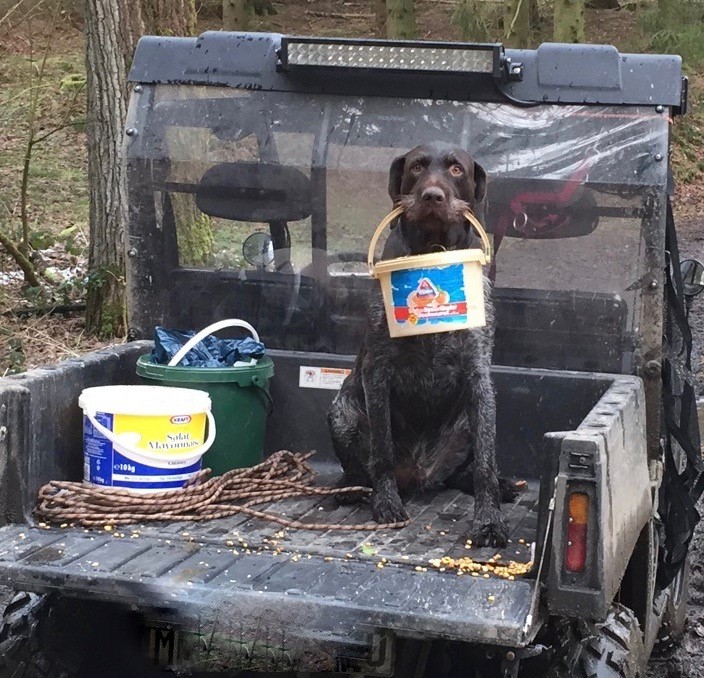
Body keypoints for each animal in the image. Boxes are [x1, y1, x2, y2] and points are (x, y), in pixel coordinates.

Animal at [327, 142, 512, 548]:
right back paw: (349, 486)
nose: (432, 195)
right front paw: (386, 503)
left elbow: (486, 463)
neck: (433, 251)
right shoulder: (377, 370)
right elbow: (381, 450)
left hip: (473, 416)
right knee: (361, 468)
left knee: (463, 471)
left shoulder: (479, 374)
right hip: (342, 408)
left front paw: (489, 520)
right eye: (416, 167)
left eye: (457, 169)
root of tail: (420, 475)